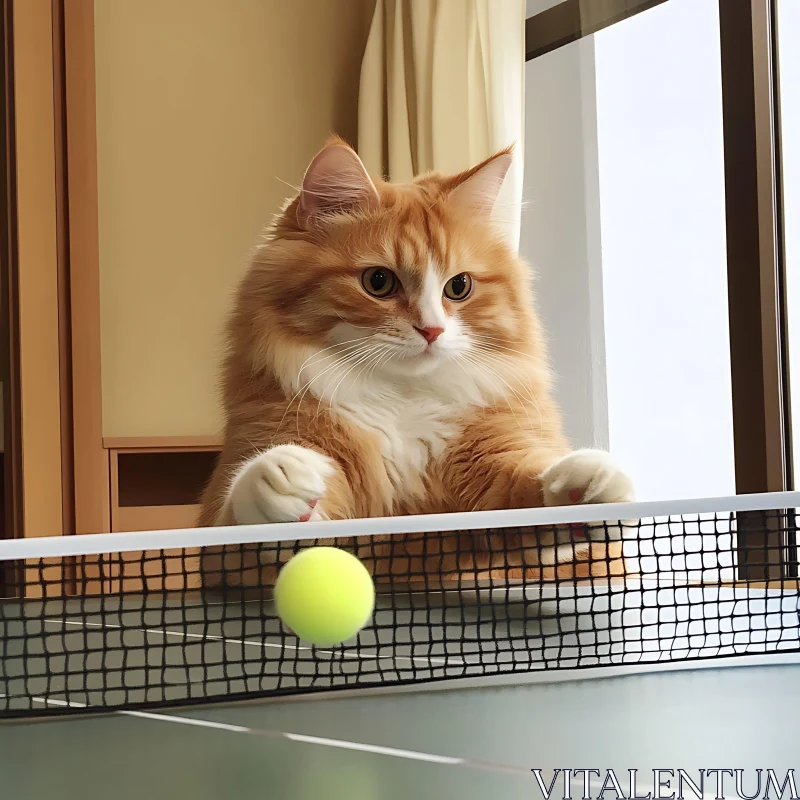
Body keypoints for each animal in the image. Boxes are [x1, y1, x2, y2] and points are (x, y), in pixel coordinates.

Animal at [198, 139, 632, 588]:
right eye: (378, 282)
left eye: (459, 286)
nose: (432, 330)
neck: (401, 400)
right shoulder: (221, 550)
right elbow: (248, 523)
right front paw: (279, 478)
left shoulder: (495, 472)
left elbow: (532, 491)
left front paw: (587, 483)